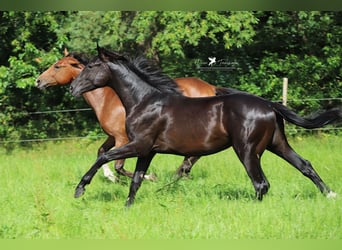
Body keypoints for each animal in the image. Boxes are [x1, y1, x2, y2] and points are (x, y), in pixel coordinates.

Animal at [35, 49, 238, 182]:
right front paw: (110, 177)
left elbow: (119, 166)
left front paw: (150, 177)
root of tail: (211, 87)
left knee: (195, 155)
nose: (38, 81)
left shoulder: (123, 139)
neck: (108, 99)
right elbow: (101, 152)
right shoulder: (113, 137)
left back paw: (180, 173)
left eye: (57, 66)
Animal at [69, 47, 340, 207]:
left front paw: (80, 189)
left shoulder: (137, 145)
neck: (144, 101)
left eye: (91, 67)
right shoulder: (148, 151)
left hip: (247, 150)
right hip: (277, 143)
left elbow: (103, 156)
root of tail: (269, 105)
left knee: (260, 183)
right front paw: (127, 208)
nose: (72, 88)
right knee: (304, 165)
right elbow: (136, 180)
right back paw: (330, 194)